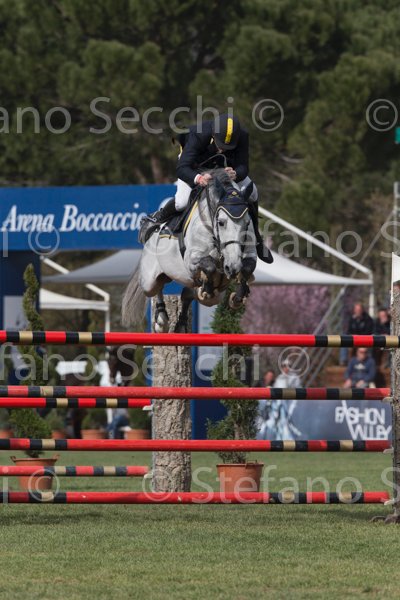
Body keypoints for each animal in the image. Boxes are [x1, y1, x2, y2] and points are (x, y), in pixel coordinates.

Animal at [121, 169, 257, 332]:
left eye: (247, 223)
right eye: (221, 222)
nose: (232, 267)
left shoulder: (249, 256)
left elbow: (247, 268)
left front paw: (238, 297)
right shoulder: (192, 259)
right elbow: (209, 266)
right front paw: (207, 288)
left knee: (187, 294)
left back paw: (181, 322)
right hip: (149, 280)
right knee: (156, 288)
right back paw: (161, 321)